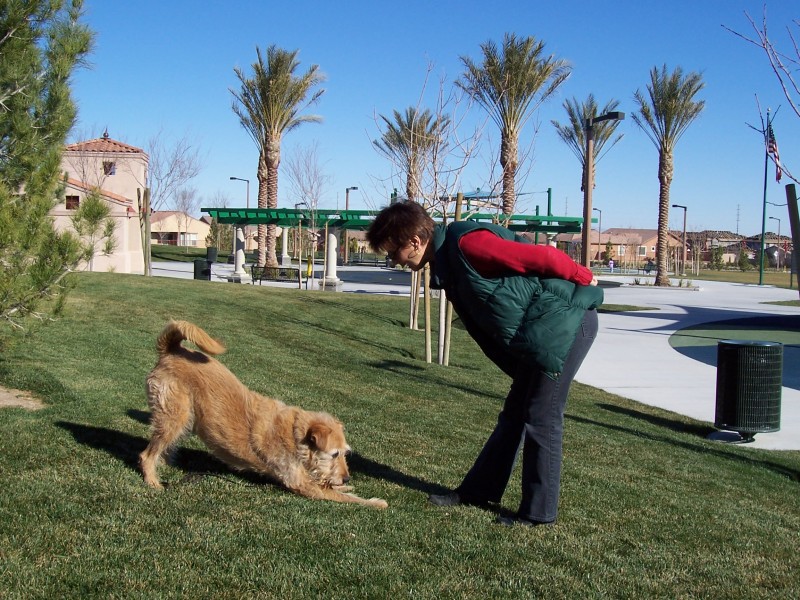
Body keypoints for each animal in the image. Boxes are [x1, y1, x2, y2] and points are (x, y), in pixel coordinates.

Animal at [139, 320, 387, 508]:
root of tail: (170, 350)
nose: (347, 476)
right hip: (174, 417)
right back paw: (153, 480)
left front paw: (344, 484)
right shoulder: (302, 485)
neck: (296, 434)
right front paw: (375, 502)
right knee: (146, 455)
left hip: (184, 420)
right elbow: (346, 498)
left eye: (345, 453)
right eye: (334, 454)